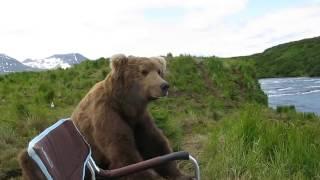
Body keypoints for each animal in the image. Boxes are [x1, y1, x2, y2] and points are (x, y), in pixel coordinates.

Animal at [18, 54, 190, 180]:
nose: (164, 86)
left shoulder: (139, 120)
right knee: (27, 160)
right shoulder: (106, 115)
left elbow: (155, 145)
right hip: (34, 162)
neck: (124, 104)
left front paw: (179, 174)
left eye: (159, 71)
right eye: (143, 71)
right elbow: (124, 154)